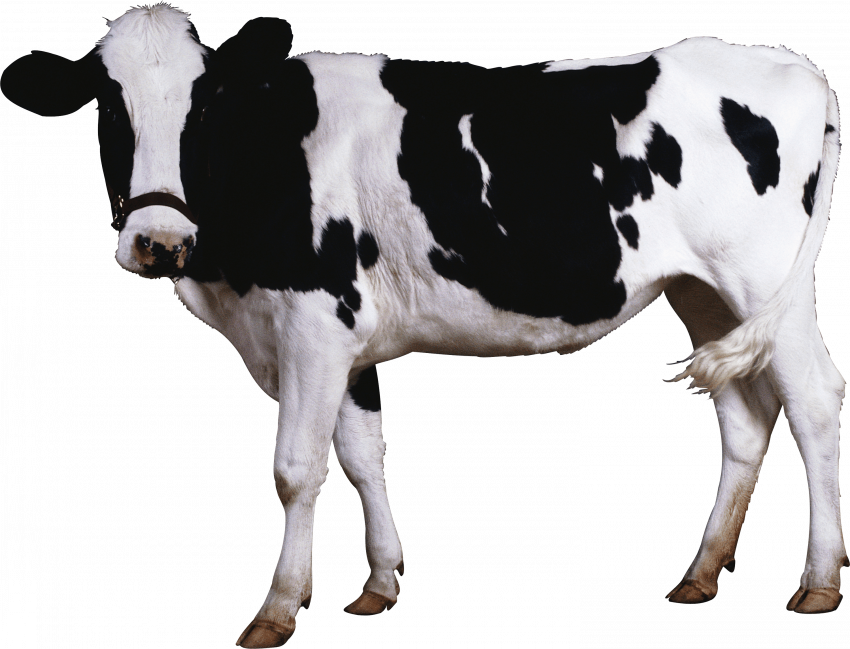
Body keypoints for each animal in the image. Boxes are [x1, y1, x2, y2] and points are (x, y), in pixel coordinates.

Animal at [2, 3, 847, 647]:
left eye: (204, 106)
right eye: (109, 105)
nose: (160, 241)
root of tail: (791, 67)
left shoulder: (314, 323)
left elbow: (297, 468)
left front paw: (277, 607)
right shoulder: (341, 339)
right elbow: (360, 455)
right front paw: (378, 582)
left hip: (763, 279)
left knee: (811, 401)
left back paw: (817, 581)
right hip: (701, 290)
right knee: (746, 412)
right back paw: (700, 571)